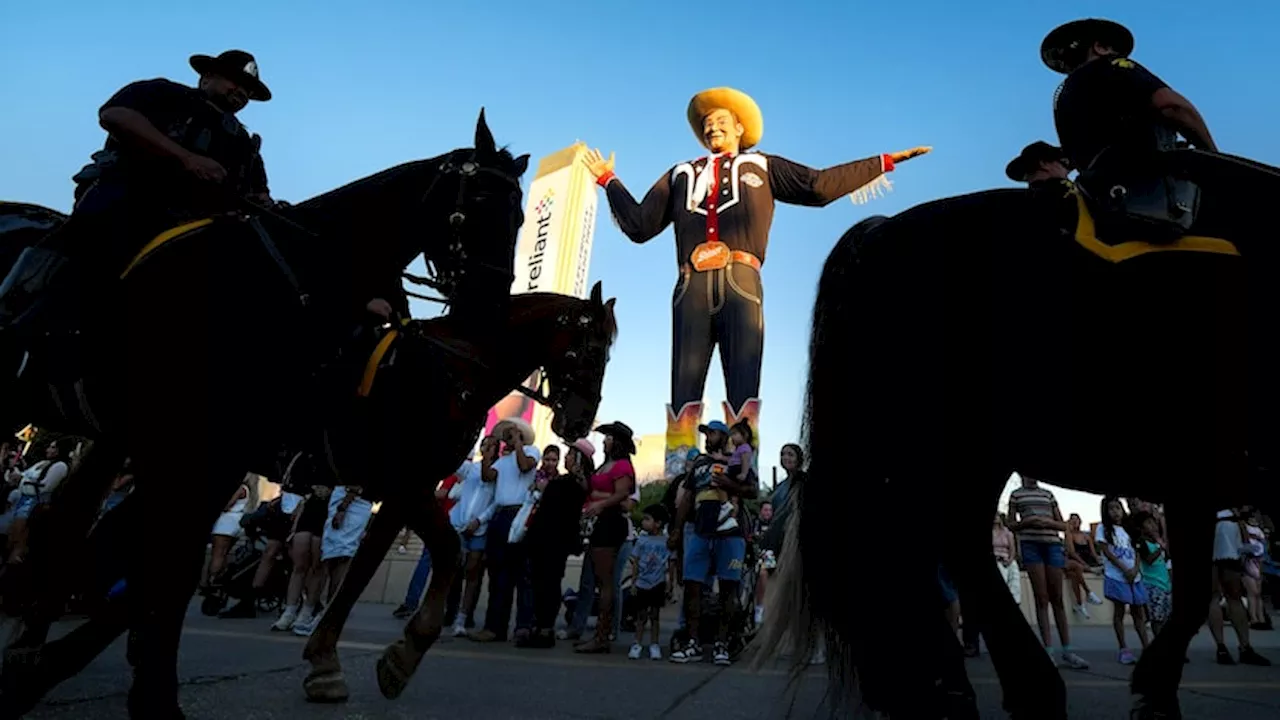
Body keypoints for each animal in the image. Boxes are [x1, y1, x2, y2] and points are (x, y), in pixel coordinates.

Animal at [0, 109, 529, 712]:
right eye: (483, 201)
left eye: (520, 216)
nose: (487, 309)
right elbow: (158, 558)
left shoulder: (245, 452)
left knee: (76, 521)